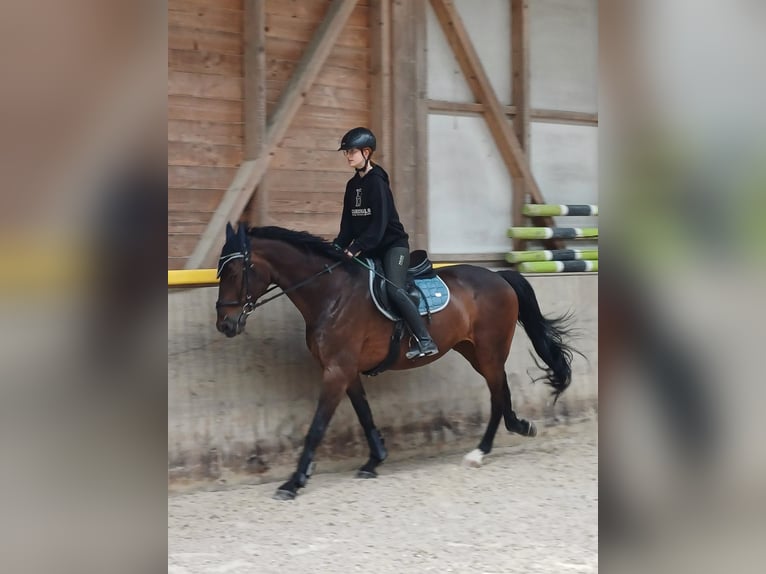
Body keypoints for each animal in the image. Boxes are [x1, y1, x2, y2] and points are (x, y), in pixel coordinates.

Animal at [215, 223, 578, 500]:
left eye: (233, 270)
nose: (225, 325)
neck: (330, 292)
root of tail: (500, 277)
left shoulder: (336, 371)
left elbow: (316, 427)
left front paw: (293, 482)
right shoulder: (346, 371)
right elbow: (364, 414)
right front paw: (374, 461)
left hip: (489, 351)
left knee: (497, 395)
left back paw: (480, 452)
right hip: (473, 350)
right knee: (501, 391)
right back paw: (518, 427)